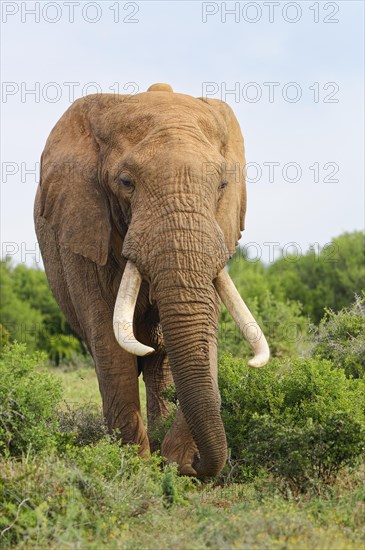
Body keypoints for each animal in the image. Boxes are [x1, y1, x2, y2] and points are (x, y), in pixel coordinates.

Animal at [34, 82, 268, 478]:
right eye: (126, 182)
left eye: (223, 184)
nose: (194, 465)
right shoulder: (84, 231)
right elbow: (110, 345)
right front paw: (135, 468)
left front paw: (168, 463)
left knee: (161, 365)